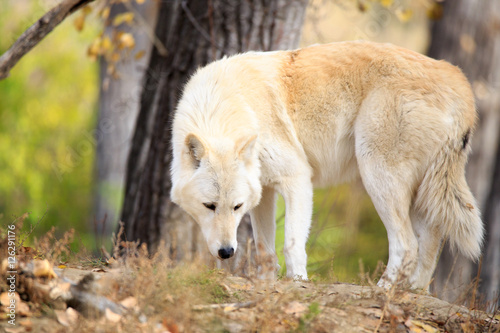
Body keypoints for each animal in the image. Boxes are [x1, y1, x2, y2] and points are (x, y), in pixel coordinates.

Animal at [170, 39, 482, 288]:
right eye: (209, 206)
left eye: (235, 207)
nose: (226, 252)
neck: (232, 105)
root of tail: (459, 82)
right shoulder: (264, 192)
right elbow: (264, 250)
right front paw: (266, 285)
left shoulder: (297, 179)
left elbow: (292, 244)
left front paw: (297, 283)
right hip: (418, 194)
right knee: (431, 243)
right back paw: (413, 292)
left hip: (377, 176)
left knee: (407, 246)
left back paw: (383, 290)